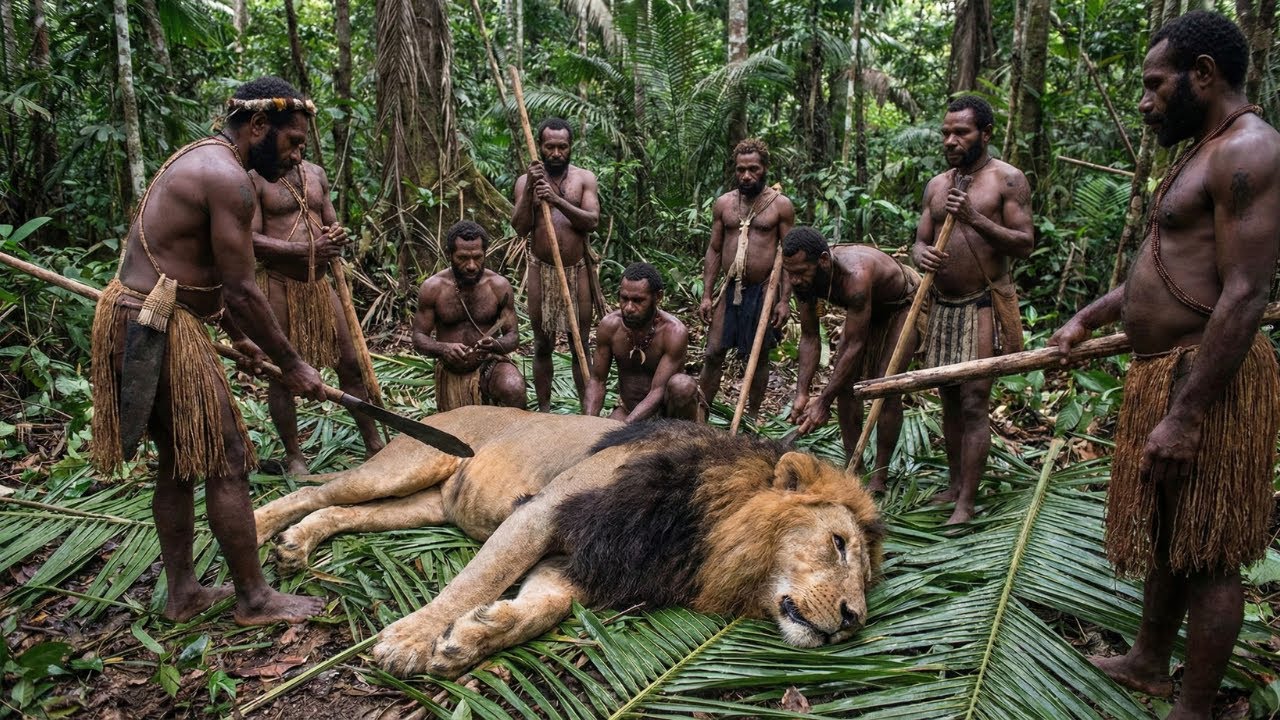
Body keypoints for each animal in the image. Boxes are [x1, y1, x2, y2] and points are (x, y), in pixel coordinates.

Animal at [253, 406, 884, 678]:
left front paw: (473, 638)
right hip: (408, 464)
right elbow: (475, 580)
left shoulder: (583, 565)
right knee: (318, 490)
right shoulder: (544, 512)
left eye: (864, 577)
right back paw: (261, 528)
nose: (853, 619)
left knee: (339, 510)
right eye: (838, 543)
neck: (704, 529)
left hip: (425, 504)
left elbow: (544, 607)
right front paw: (409, 641)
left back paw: (298, 543)